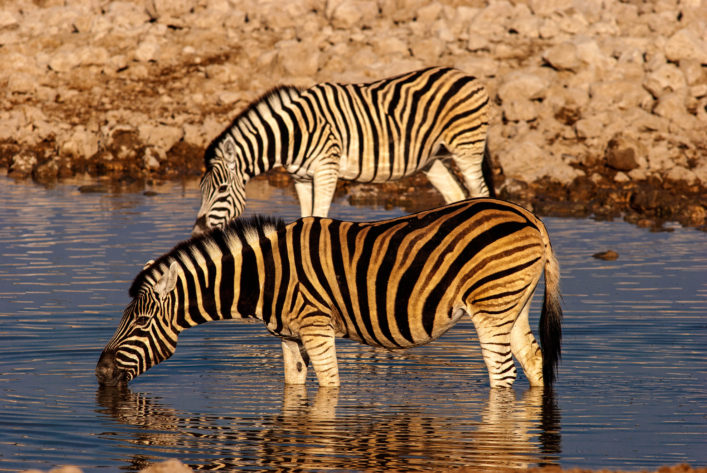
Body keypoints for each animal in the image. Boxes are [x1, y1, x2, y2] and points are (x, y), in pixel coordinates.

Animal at [97, 199, 562, 389]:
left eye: (140, 322)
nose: (99, 373)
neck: (266, 275)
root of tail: (530, 216)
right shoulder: (288, 337)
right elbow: (294, 387)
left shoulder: (316, 328)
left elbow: (330, 388)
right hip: (513, 305)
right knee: (535, 362)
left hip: (491, 306)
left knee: (502, 374)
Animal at [192, 66, 493, 235]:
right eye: (201, 190)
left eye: (221, 190)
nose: (195, 233)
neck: (294, 132)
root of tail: (467, 75)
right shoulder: (300, 178)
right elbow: (305, 214)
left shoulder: (327, 170)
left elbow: (319, 213)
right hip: (432, 159)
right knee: (456, 195)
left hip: (466, 148)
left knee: (480, 191)